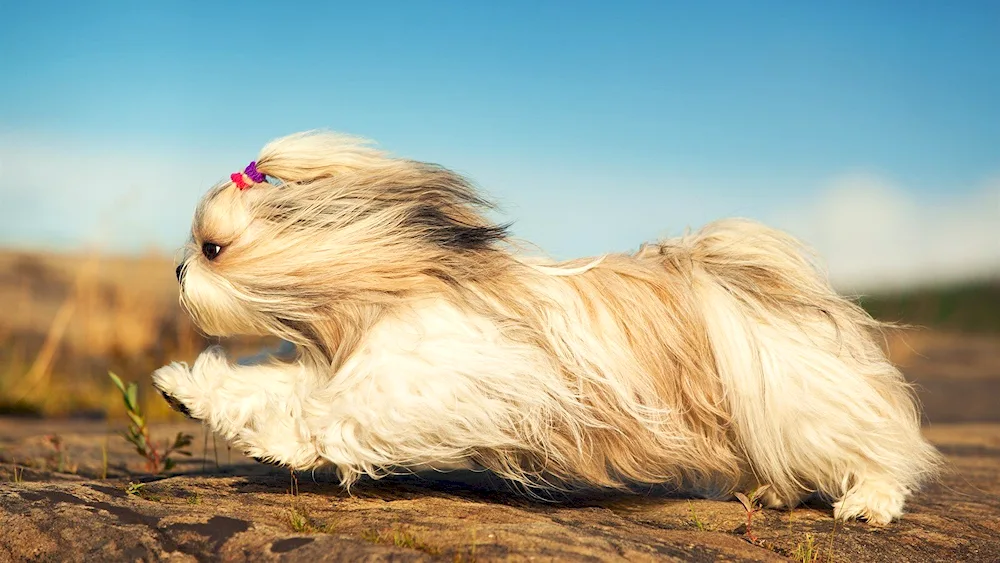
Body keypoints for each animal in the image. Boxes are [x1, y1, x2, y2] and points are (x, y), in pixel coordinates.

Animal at [152, 131, 940, 524]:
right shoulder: (349, 362)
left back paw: (867, 504)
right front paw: (182, 387)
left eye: (212, 247)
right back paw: (772, 492)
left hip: (800, 397)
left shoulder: (425, 381)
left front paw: (281, 444)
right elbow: (272, 386)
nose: (178, 271)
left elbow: (331, 418)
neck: (383, 287)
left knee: (879, 451)